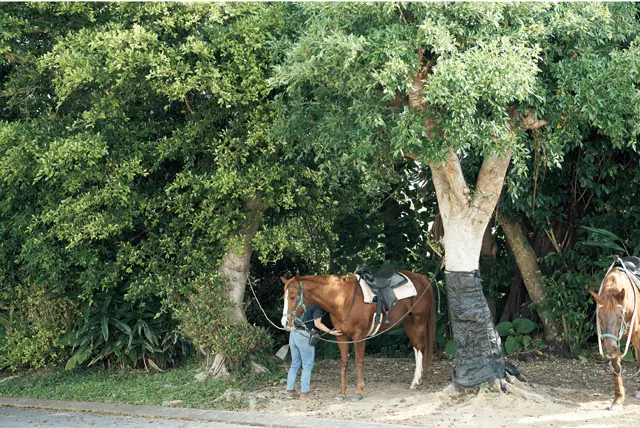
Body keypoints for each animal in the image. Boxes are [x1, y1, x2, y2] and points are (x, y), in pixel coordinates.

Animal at [281, 271, 436, 401]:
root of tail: (424, 278)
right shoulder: (341, 336)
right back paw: (417, 379)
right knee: (416, 346)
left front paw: (359, 392)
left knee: (420, 346)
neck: (342, 299)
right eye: (284, 297)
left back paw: (415, 381)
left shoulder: (359, 336)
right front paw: (342, 393)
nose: (285, 322)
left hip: (419, 321)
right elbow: (344, 362)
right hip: (408, 322)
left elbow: (358, 362)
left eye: (293, 297)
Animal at [589, 260, 640, 410]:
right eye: (600, 317)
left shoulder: (637, 335)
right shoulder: (612, 341)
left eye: (619, 317)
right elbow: (616, 368)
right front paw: (618, 399)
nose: (609, 350)